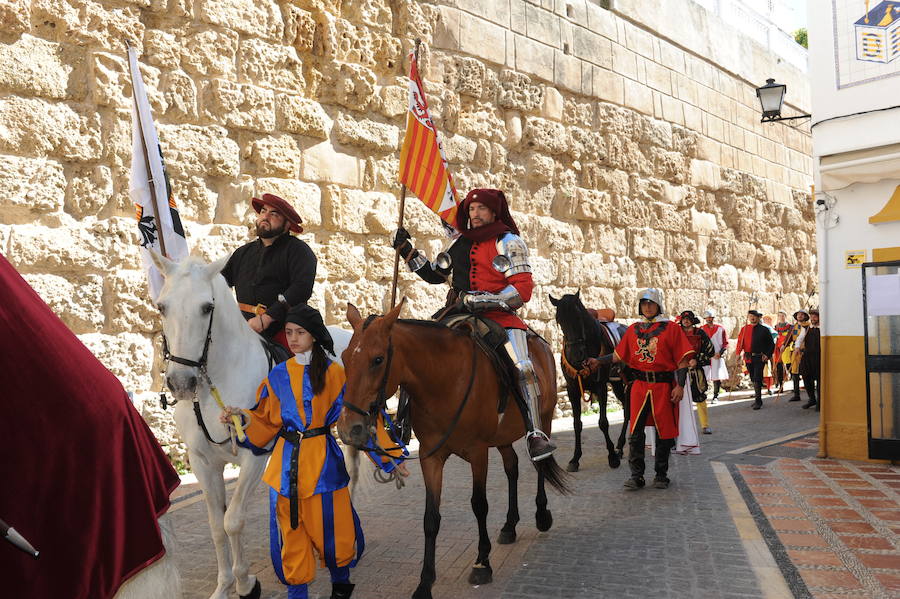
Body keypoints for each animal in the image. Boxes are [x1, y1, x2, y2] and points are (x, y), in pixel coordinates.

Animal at [151, 254, 352, 599]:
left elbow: (232, 520)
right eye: (163, 306)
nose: (181, 383)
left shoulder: (253, 457)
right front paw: (223, 586)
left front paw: (246, 584)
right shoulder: (203, 463)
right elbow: (216, 525)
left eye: (207, 307)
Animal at [338, 302, 568, 599]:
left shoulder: (478, 453)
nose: (348, 428)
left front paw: (482, 563)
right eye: (344, 358)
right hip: (503, 437)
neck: (443, 381)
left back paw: (541, 514)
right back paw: (509, 525)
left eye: (378, 359)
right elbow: (431, 518)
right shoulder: (431, 456)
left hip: (545, 418)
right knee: (512, 467)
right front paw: (425, 582)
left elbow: (479, 505)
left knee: (539, 460)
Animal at [544, 294, 628, 474]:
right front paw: (575, 459)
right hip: (617, 384)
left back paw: (620, 447)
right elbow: (577, 424)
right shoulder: (572, 390)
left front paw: (612, 457)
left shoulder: (601, 387)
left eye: (578, 317)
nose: (577, 354)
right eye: (559, 320)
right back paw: (620, 446)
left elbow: (603, 422)